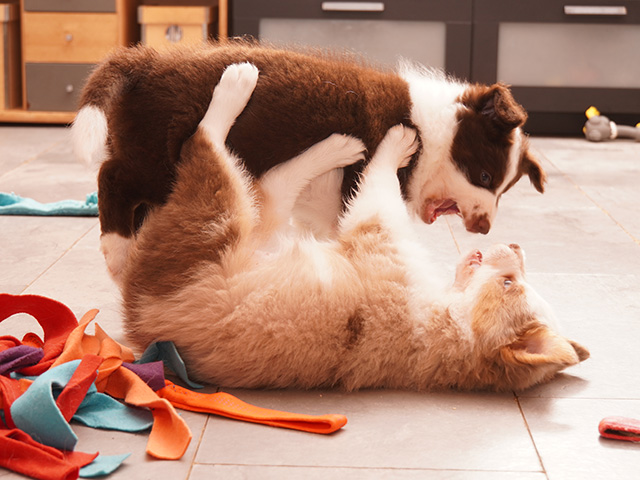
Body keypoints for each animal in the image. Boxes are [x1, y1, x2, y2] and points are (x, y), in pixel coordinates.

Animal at [72, 41, 546, 285]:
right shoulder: (361, 179)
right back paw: (118, 250)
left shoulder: (324, 214)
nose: (483, 228)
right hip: (158, 156)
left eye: (502, 189)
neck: (431, 132)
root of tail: (147, 60)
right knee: (112, 177)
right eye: (483, 175)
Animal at [121, 63, 587, 392]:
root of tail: (137, 313)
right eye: (488, 179)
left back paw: (243, 90)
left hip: (215, 218)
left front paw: (397, 141)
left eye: (510, 284)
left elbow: (377, 183)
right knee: (267, 185)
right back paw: (329, 146)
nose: (502, 238)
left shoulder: (375, 229)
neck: (452, 320)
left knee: (210, 148)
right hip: (248, 224)